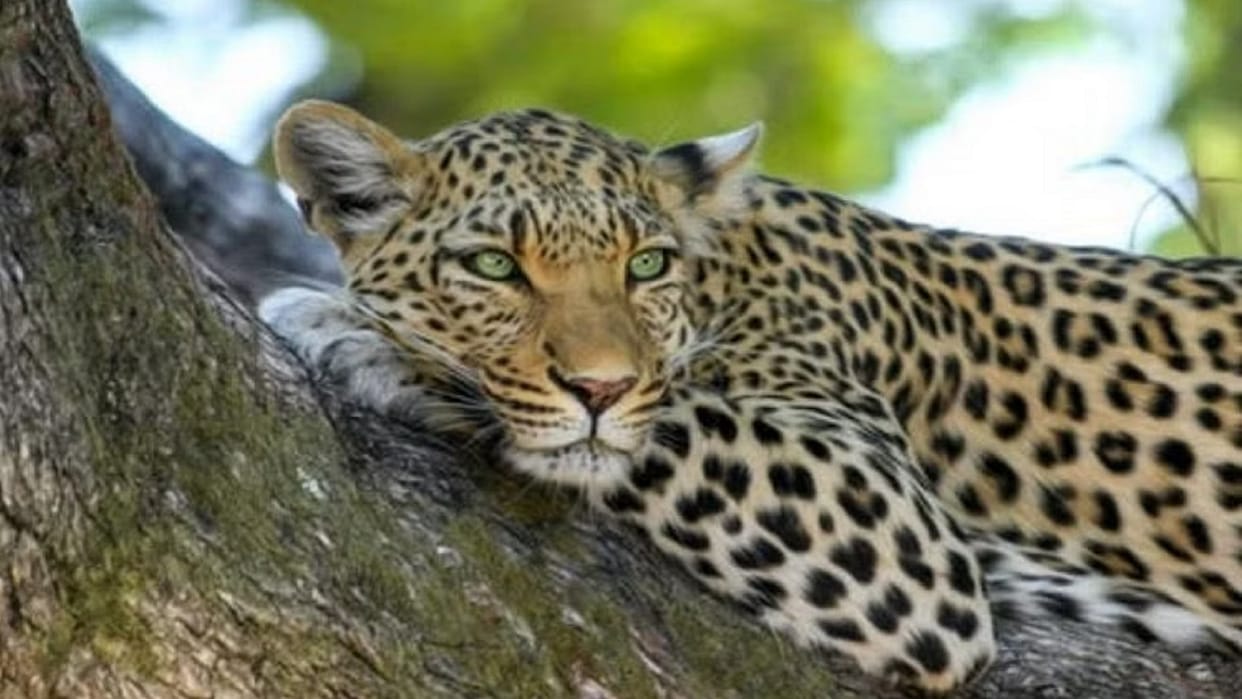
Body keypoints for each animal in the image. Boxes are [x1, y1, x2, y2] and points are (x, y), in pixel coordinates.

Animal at [259, 99, 1242, 694]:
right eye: (495, 266)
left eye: (646, 264)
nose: (599, 385)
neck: (729, 273)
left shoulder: (897, 529)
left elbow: (670, 422)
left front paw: (357, 334)